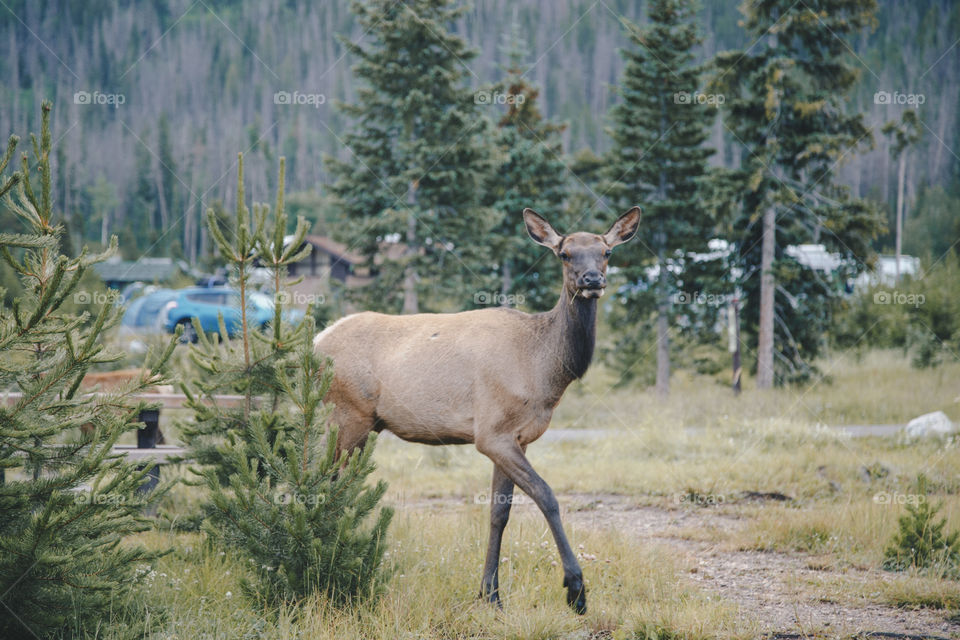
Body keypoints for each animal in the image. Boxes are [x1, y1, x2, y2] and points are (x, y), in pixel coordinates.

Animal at [316, 208, 640, 612]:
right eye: (565, 254)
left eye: (606, 252)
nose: (592, 279)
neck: (544, 368)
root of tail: (317, 340)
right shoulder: (491, 433)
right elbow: (547, 496)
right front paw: (575, 589)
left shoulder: (517, 436)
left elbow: (499, 512)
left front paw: (490, 594)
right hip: (346, 416)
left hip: (364, 425)